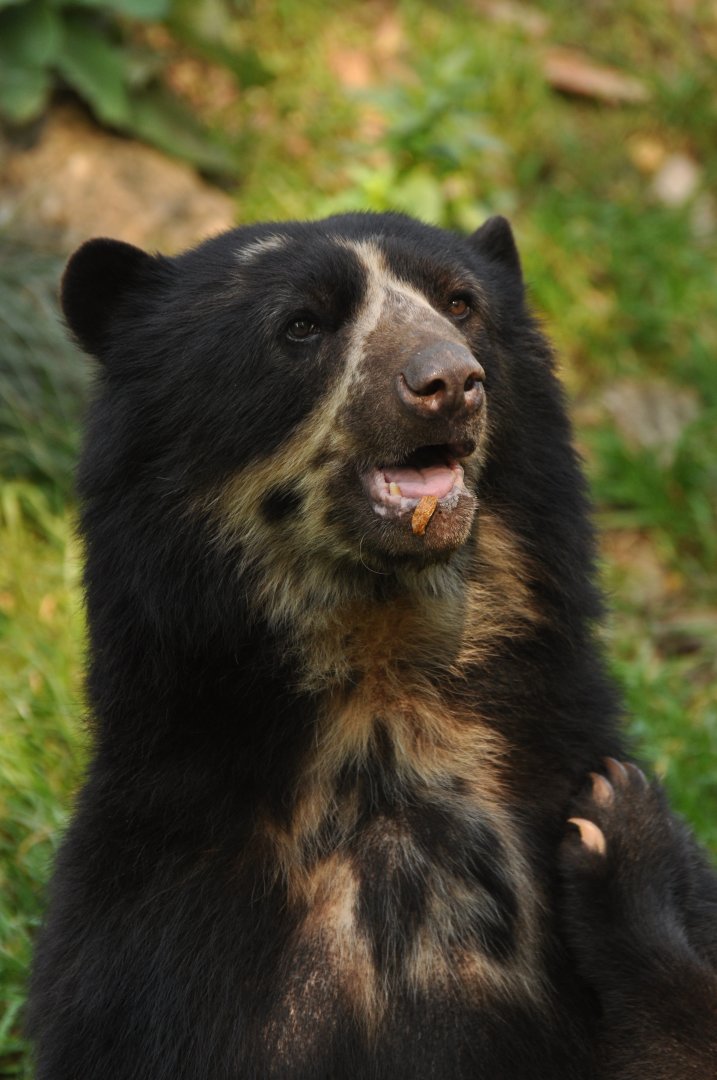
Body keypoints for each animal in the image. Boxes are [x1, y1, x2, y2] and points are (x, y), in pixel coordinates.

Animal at [28, 212, 717, 1079]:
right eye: (302, 325)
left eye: (461, 304)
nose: (448, 382)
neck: (387, 705)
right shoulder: (154, 941)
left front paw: (624, 830)